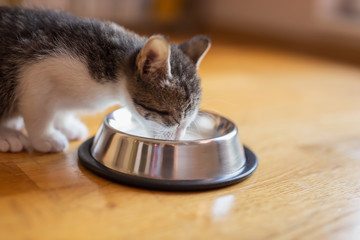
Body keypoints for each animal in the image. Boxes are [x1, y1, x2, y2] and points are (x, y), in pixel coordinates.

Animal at [0, 7, 210, 154]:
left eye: (188, 121)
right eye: (170, 116)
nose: (177, 138)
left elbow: (59, 109)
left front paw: (66, 124)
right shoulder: (37, 70)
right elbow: (39, 109)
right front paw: (45, 137)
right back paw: (8, 136)